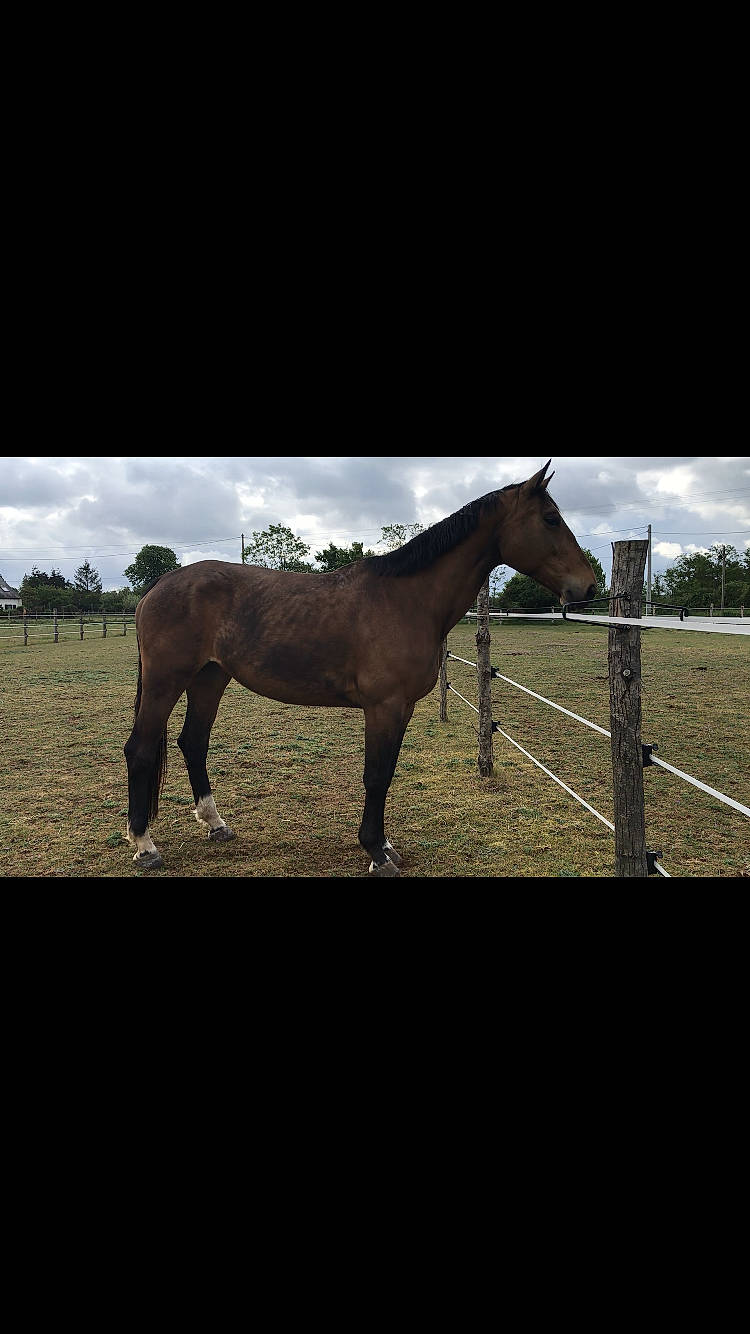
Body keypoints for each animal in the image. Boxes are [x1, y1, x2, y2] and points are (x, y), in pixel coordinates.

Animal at [124, 460, 596, 876]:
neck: (406, 599)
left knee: (193, 742)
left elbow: (386, 774)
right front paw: (376, 852)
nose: (588, 587)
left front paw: (384, 845)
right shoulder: (383, 706)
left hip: (210, 677)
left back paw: (216, 824)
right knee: (140, 749)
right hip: (167, 680)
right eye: (551, 519)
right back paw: (145, 845)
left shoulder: (402, 708)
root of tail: (159, 586)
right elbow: (375, 775)